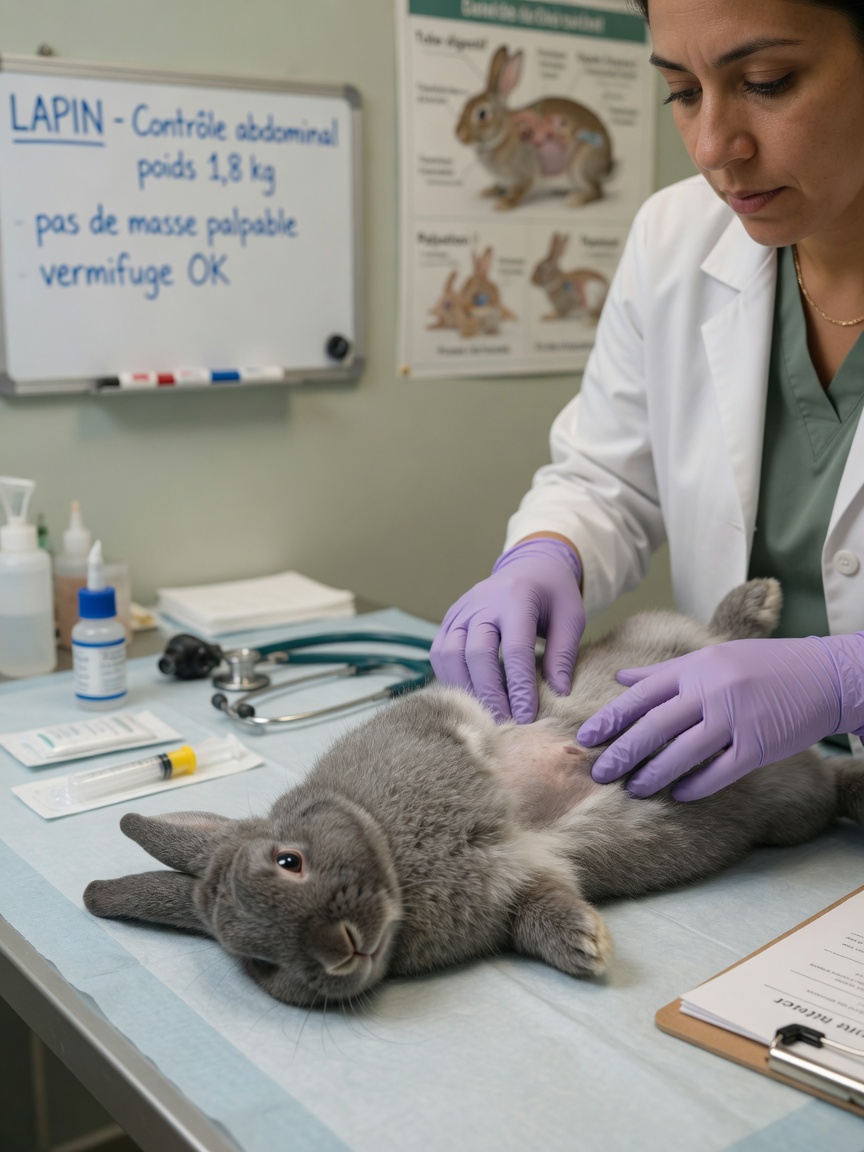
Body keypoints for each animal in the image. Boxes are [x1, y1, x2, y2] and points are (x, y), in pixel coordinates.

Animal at [84, 579, 864, 1009]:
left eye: (289, 861)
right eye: (261, 965)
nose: (338, 952)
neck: (395, 857)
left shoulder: (431, 727)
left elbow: (466, 722)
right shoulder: (520, 887)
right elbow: (544, 911)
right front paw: (589, 946)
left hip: (676, 648)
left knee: (717, 633)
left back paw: (759, 599)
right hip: (791, 802)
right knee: (828, 785)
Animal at [455, 46, 613, 210]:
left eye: (482, 114)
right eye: (466, 104)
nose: (459, 134)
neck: (503, 133)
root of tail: (607, 164)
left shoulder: (524, 173)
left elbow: (519, 190)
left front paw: (503, 204)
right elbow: (500, 186)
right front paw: (488, 191)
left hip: (579, 166)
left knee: (597, 191)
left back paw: (576, 199)